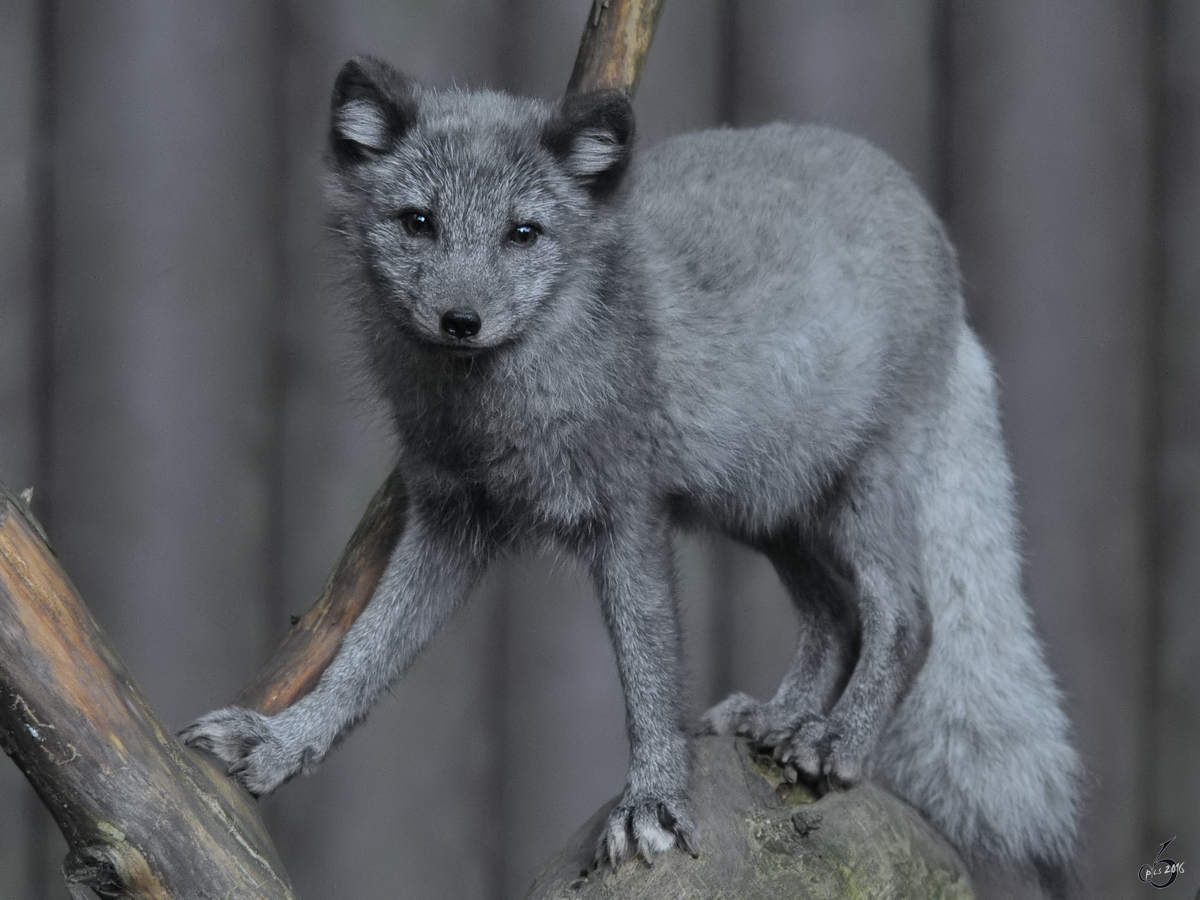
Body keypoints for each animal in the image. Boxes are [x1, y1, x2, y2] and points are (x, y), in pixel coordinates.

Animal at [182, 56, 1084, 897]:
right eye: (418, 222)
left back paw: (836, 743)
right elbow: (367, 651)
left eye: (523, 233)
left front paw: (652, 802)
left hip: (859, 489)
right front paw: (286, 741)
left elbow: (648, 672)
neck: (496, 413)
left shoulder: (626, 517)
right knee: (836, 612)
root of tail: (924, 212)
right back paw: (781, 717)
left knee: (907, 616)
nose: (461, 321)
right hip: (763, 507)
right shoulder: (450, 520)